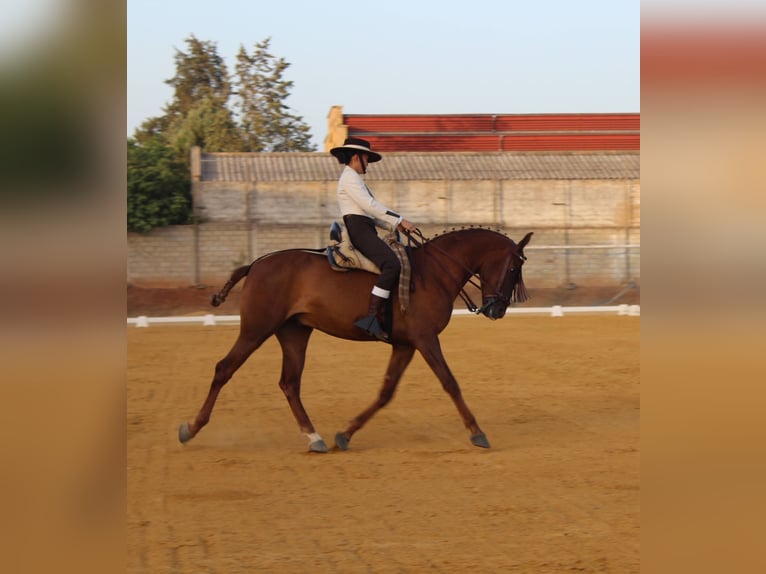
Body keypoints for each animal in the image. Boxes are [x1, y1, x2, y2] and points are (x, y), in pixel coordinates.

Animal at [179, 227, 536, 452]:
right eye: (514, 268)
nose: (498, 309)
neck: (434, 272)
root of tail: (257, 264)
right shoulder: (425, 339)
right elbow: (450, 382)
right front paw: (477, 432)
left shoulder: (406, 344)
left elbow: (385, 392)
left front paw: (346, 433)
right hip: (256, 329)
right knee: (225, 368)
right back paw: (192, 428)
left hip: (294, 333)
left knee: (289, 383)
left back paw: (315, 438)